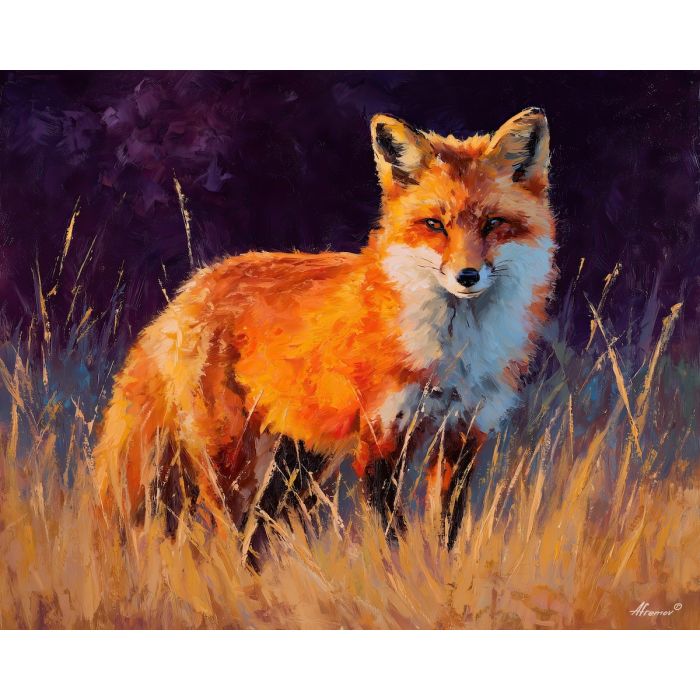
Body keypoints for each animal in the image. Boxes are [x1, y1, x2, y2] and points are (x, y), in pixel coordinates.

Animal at [93, 107, 557, 550]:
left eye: (493, 223)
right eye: (434, 225)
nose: (467, 276)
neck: (454, 354)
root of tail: (191, 288)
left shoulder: (463, 437)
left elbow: (446, 535)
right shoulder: (380, 440)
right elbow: (392, 539)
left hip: (300, 465)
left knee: (254, 535)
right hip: (234, 461)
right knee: (223, 535)